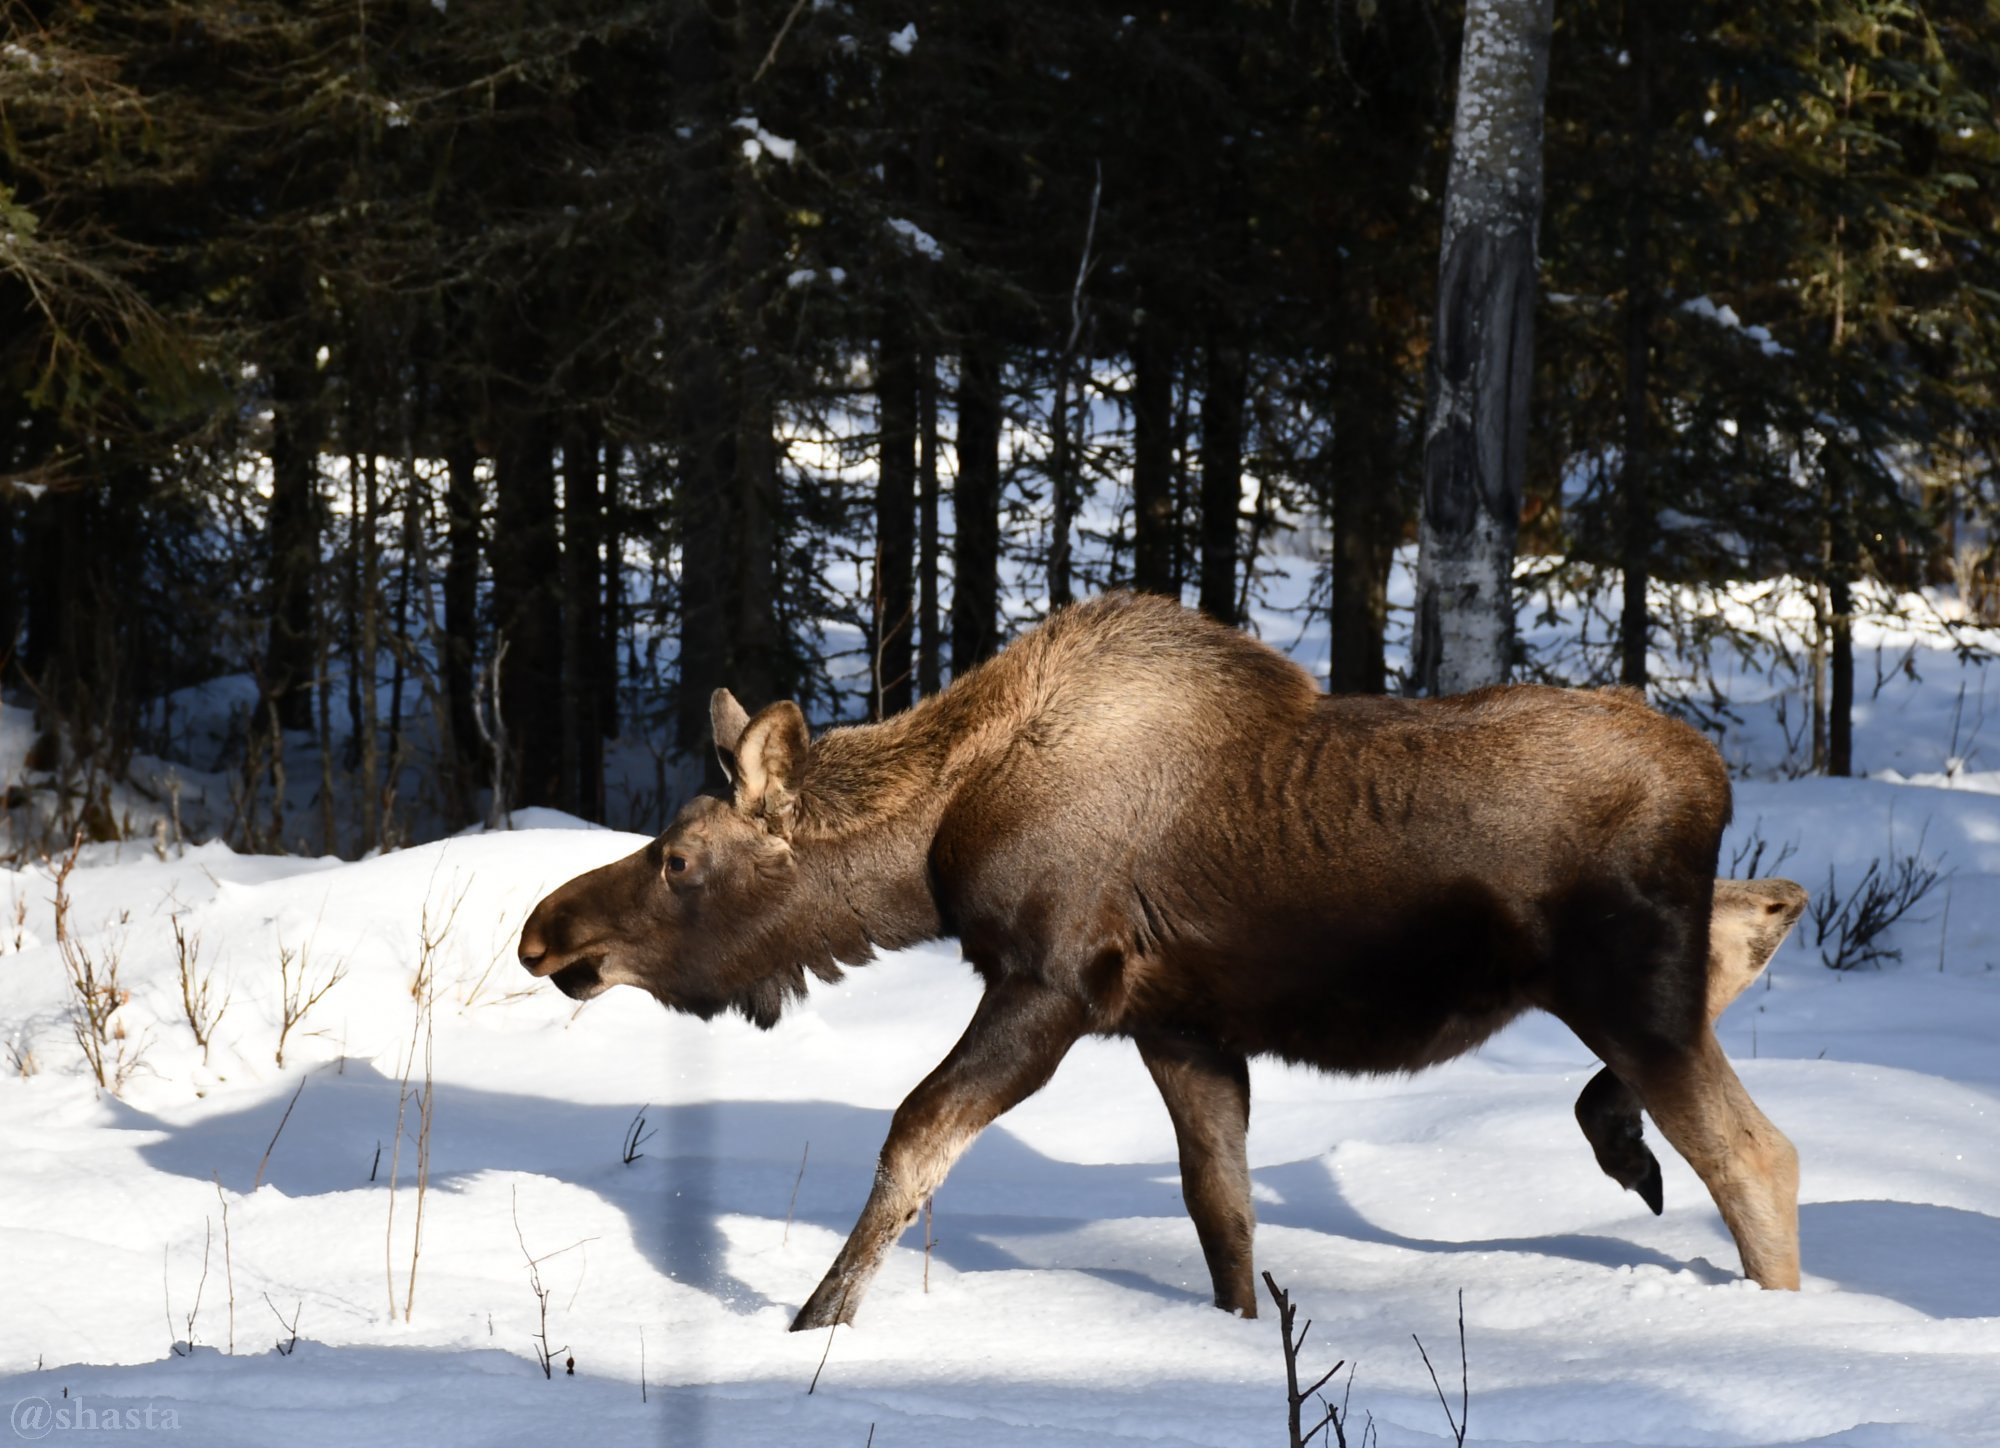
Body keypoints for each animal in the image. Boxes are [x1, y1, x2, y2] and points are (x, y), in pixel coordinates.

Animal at [520, 588, 1816, 1320]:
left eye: (680, 857)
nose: (544, 933)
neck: (936, 838)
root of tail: (1712, 775)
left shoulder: (1048, 980)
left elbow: (913, 1140)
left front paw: (811, 1321)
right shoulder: (1177, 1023)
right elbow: (1220, 1208)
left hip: (1619, 979)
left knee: (1758, 1153)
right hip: (1631, 967)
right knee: (1769, 904)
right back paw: (1621, 1133)